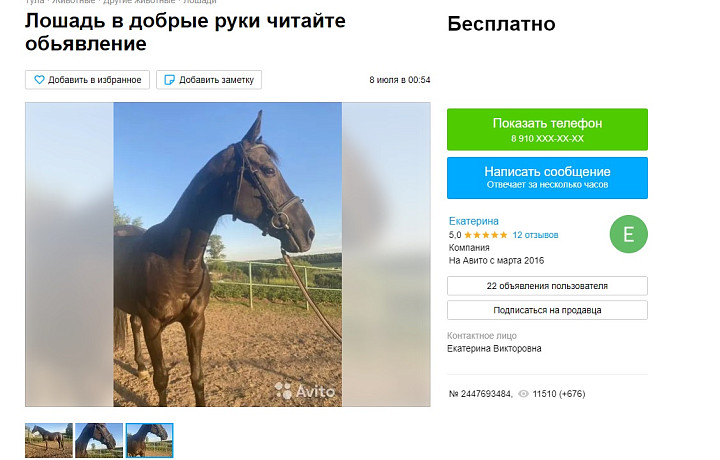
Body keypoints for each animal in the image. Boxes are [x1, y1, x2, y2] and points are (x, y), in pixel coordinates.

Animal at [113, 111, 315, 406]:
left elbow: (197, 377)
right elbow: (161, 379)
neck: (177, 263)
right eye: (269, 170)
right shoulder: (154, 326)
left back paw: (139, 366)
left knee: (132, 324)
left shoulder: (196, 323)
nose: (308, 231)